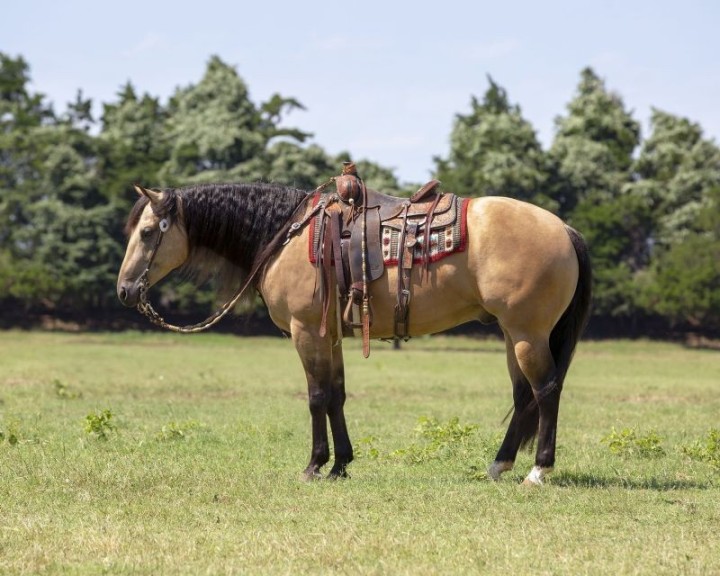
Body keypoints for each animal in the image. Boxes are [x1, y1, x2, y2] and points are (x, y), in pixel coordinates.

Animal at [117, 180, 592, 485]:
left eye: (147, 232)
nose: (124, 290)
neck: (287, 236)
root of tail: (564, 228)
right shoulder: (329, 335)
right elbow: (337, 395)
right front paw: (341, 464)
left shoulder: (305, 332)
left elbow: (316, 397)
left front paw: (314, 466)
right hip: (514, 335)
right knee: (523, 395)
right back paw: (498, 466)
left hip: (527, 332)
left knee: (546, 390)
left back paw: (538, 470)